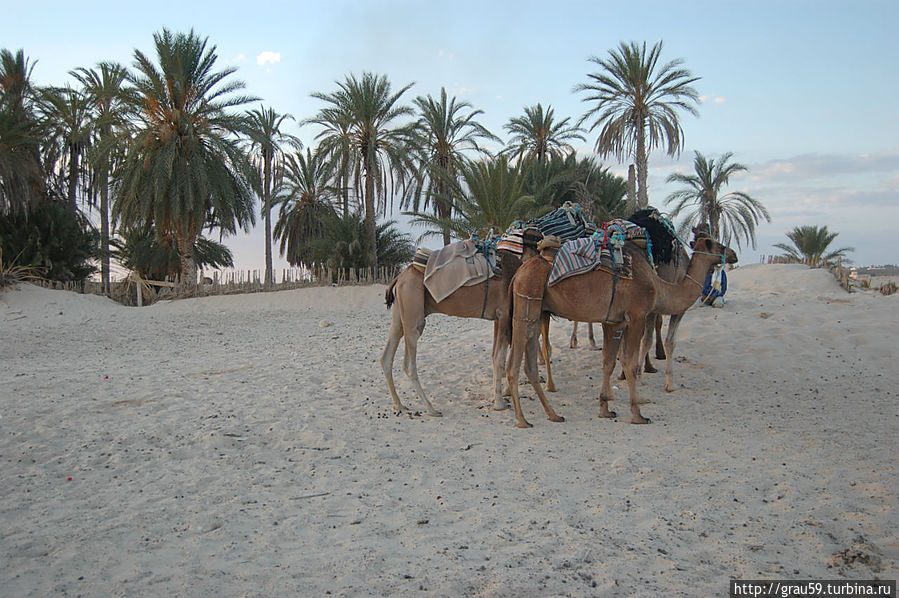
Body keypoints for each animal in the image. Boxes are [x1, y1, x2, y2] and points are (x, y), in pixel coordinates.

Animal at [506, 232, 740, 428]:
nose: (734, 254)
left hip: (539, 312)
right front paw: (638, 414)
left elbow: (608, 362)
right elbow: (629, 363)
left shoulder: (615, 322)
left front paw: (605, 408)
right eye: (719, 244)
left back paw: (553, 415)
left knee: (529, 364)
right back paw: (522, 419)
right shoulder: (637, 315)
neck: (658, 286)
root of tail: (519, 273)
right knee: (514, 364)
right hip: (527, 301)